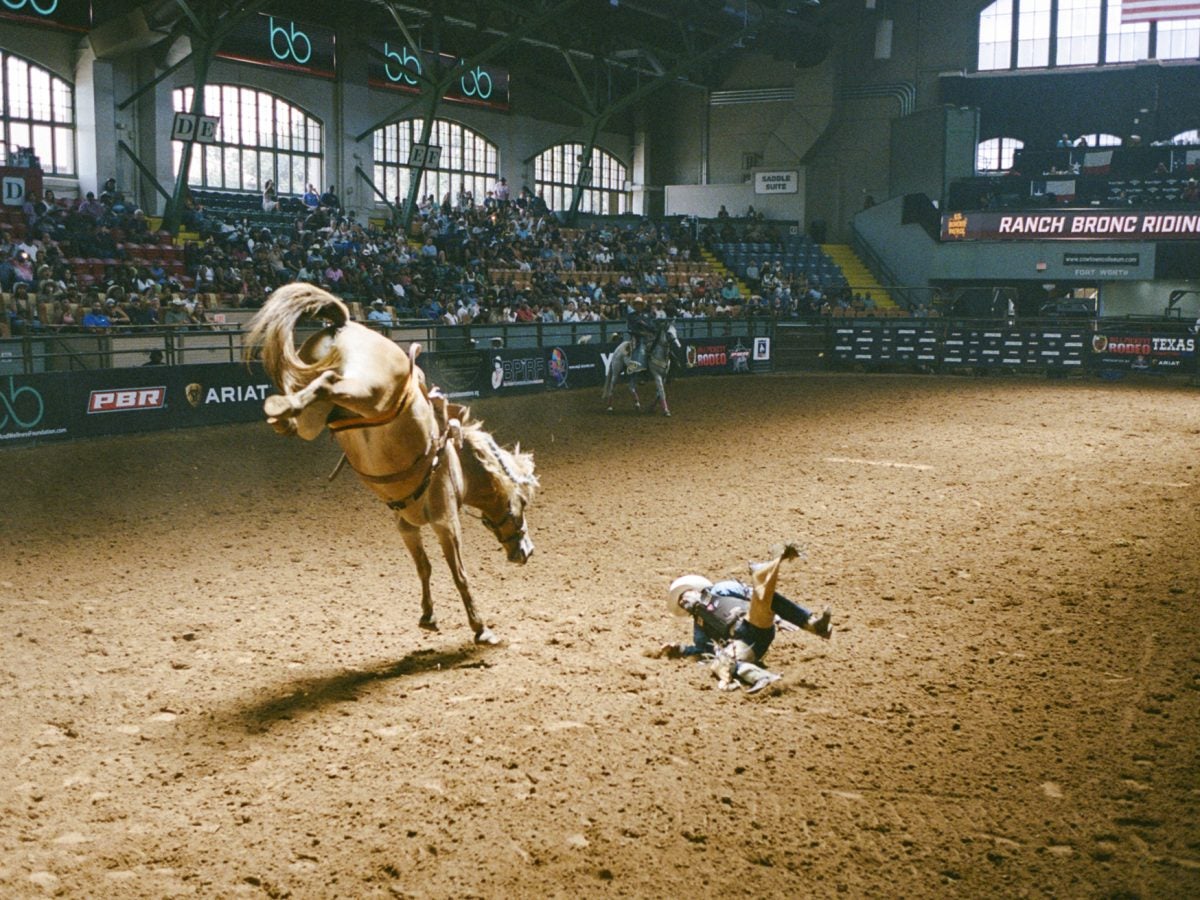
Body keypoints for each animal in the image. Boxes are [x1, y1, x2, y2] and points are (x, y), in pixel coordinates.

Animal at [246, 285, 537, 643]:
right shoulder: (446, 522)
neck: (456, 462)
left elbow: (423, 566)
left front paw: (428, 615)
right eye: (522, 503)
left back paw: (282, 414)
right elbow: (459, 574)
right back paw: (280, 407)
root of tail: (344, 325)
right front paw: (481, 629)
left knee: (313, 395)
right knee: (328, 382)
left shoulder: (406, 525)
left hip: (316, 416)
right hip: (369, 391)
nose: (527, 551)